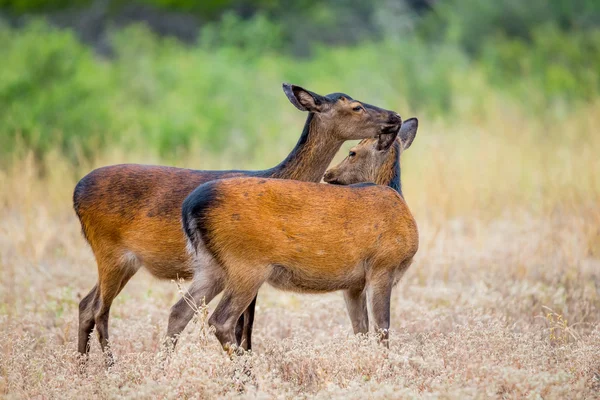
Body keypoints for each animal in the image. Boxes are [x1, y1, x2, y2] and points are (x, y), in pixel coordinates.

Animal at [180, 118, 420, 354]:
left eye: (352, 152)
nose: (329, 174)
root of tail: (190, 207)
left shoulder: (353, 284)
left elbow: (361, 330)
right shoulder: (383, 265)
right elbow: (382, 329)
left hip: (211, 266)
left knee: (180, 311)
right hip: (246, 265)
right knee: (220, 320)